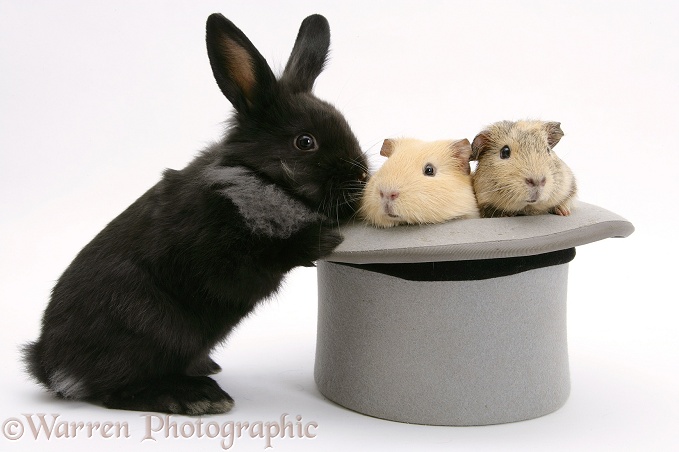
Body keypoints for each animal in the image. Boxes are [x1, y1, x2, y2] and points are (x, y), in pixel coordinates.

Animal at [22, 12, 366, 414]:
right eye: (305, 142)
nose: (362, 176)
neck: (257, 176)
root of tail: (51, 365)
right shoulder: (215, 256)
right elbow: (269, 256)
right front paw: (321, 239)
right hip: (152, 328)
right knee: (117, 391)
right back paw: (198, 396)